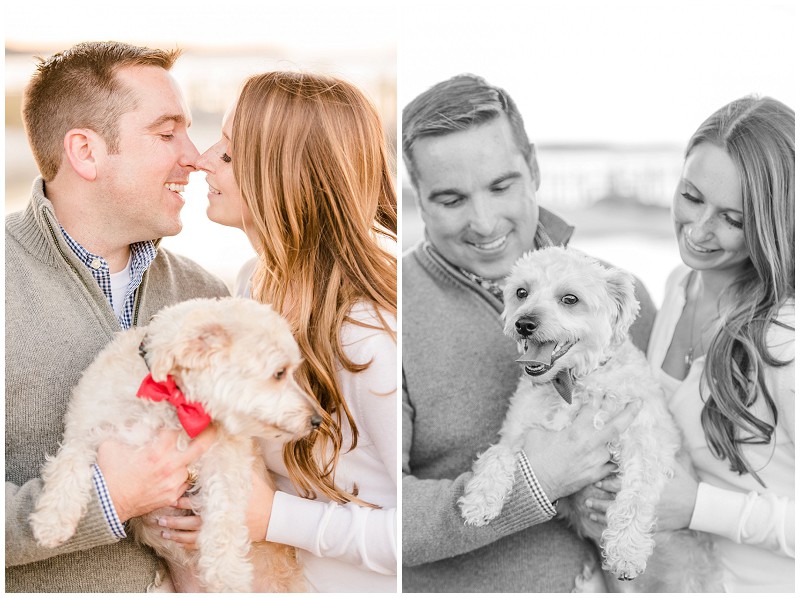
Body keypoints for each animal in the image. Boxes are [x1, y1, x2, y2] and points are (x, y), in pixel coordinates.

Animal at [30, 298, 318, 592]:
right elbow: (68, 467)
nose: (316, 420)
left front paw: (226, 575)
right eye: (280, 373)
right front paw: (52, 520)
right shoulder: (85, 431)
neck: (172, 397)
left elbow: (224, 516)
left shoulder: (226, 464)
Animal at [460, 248, 720, 596]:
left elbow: (635, 498)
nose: (523, 323)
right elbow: (495, 455)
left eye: (570, 299)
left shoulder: (647, 446)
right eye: (521, 292)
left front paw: (626, 552)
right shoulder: (517, 437)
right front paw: (479, 501)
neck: (572, 383)